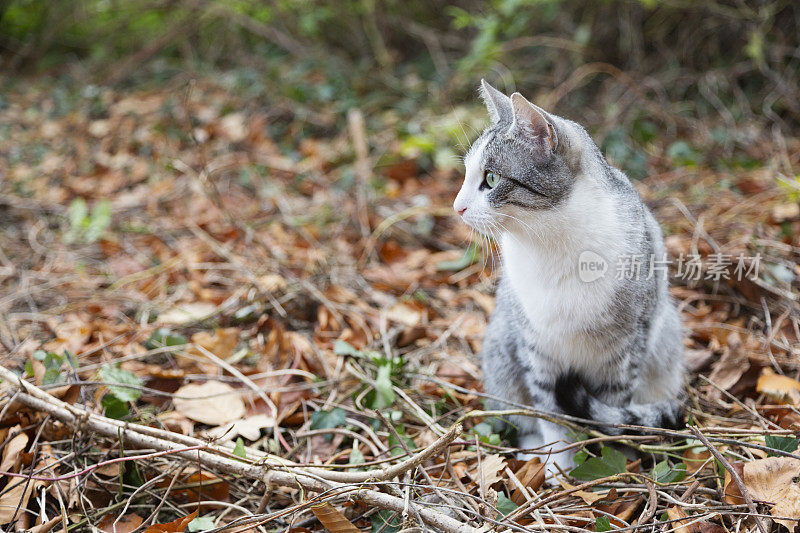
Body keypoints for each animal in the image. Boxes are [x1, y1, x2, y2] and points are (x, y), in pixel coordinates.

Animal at [454, 80, 684, 478]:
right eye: (467, 175)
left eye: (491, 179)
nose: (457, 206)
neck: (549, 243)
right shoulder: (536, 346)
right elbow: (551, 413)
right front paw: (557, 466)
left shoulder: (628, 347)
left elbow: (611, 414)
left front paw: (610, 464)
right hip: (501, 350)